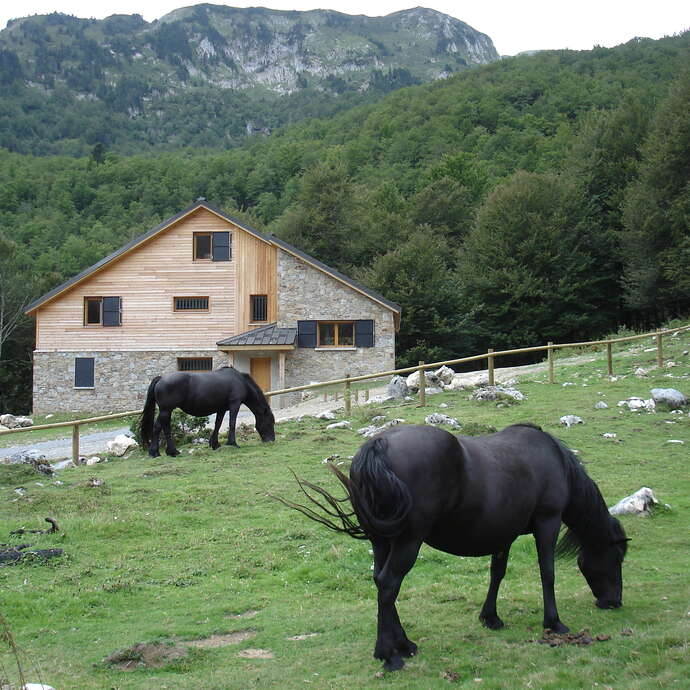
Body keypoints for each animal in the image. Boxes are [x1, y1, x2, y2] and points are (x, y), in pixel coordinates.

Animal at [139, 366, 274, 456]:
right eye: (270, 422)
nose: (271, 440)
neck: (240, 381)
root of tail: (161, 379)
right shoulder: (234, 404)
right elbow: (232, 423)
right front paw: (233, 443)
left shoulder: (221, 409)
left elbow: (218, 424)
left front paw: (215, 444)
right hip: (166, 410)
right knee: (162, 428)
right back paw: (167, 452)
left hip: (164, 411)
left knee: (160, 427)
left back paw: (161, 452)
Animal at [276, 422, 628, 668]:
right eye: (617, 557)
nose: (613, 602)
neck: (553, 459)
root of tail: (379, 444)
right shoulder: (547, 521)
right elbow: (547, 572)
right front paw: (554, 623)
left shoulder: (504, 534)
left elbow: (497, 573)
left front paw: (491, 617)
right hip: (407, 541)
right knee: (389, 585)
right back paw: (390, 655)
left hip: (383, 541)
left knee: (381, 584)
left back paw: (403, 645)